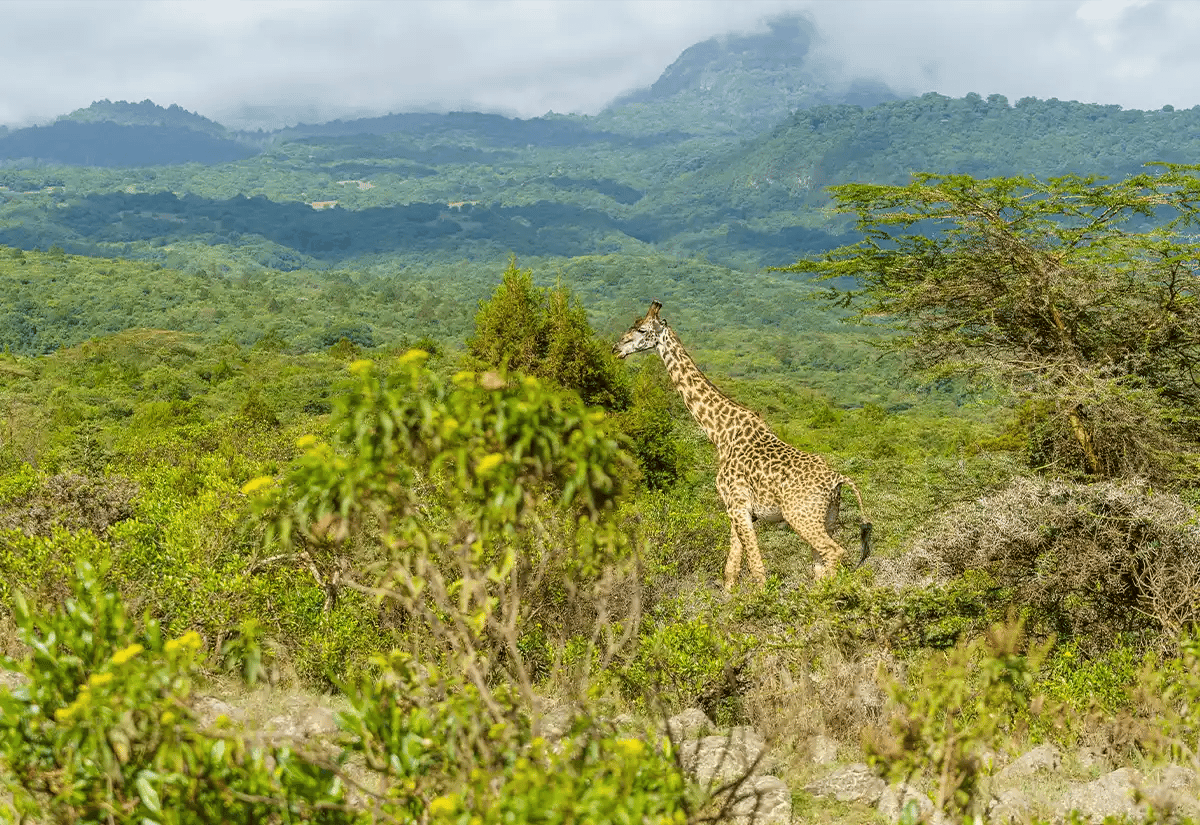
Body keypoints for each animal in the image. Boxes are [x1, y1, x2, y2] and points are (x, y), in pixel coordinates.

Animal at [613, 300, 872, 589]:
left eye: (641, 329)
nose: (616, 349)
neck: (721, 433)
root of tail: (838, 479)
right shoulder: (738, 509)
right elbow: (731, 570)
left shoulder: (737, 505)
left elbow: (757, 570)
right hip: (827, 518)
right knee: (820, 564)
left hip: (801, 517)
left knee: (835, 552)